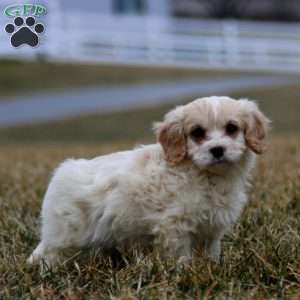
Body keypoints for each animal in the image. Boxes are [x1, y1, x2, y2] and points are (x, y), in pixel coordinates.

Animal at [27, 96, 270, 268]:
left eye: (232, 128)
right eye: (197, 132)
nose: (217, 149)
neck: (205, 174)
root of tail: (61, 173)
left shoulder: (211, 229)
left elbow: (211, 252)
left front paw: (212, 268)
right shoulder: (174, 226)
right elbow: (181, 256)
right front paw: (184, 272)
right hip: (66, 234)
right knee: (51, 254)